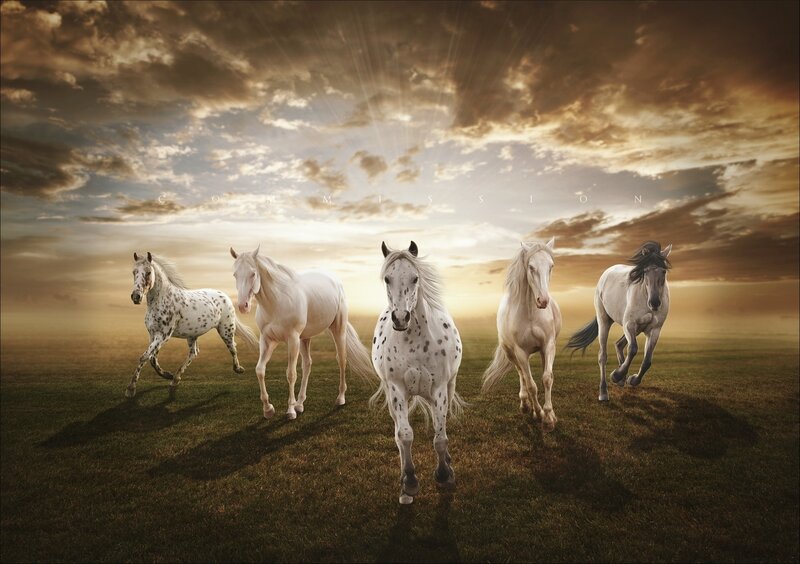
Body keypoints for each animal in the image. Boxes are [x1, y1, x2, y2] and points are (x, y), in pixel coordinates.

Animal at [125, 252, 258, 398]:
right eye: (134, 272)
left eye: (148, 272)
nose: (136, 296)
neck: (161, 300)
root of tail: (225, 296)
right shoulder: (153, 335)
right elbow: (152, 358)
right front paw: (167, 375)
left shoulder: (163, 335)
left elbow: (144, 357)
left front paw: (130, 389)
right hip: (192, 335)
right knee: (193, 353)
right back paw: (175, 381)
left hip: (226, 330)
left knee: (232, 347)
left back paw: (238, 369)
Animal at [230, 245, 374, 420]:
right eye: (235, 274)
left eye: (253, 273)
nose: (243, 306)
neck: (277, 302)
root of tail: (335, 281)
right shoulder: (267, 341)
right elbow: (260, 370)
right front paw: (268, 409)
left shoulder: (292, 339)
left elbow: (291, 374)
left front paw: (290, 411)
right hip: (305, 338)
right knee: (307, 364)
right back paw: (300, 403)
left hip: (338, 330)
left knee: (341, 360)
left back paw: (340, 398)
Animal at [371, 241, 465, 504]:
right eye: (387, 278)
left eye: (415, 278)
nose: (401, 318)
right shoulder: (397, 390)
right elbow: (404, 436)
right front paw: (410, 482)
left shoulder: (439, 388)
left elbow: (440, 437)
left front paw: (444, 474)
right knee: (398, 435)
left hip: (446, 388)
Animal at [481, 237, 562, 431]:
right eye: (531, 267)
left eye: (551, 266)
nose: (543, 300)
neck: (531, 314)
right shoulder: (520, 352)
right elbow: (531, 385)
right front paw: (539, 414)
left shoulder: (548, 345)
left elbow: (547, 378)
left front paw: (549, 417)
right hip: (511, 353)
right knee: (521, 375)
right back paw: (526, 405)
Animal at [566, 241, 672, 401]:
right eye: (645, 271)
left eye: (663, 271)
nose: (654, 303)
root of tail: (606, 273)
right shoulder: (629, 325)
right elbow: (633, 349)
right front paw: (616, 375)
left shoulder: (654, 330)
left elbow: (647, 360)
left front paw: (631, 379)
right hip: (605, 321)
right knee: (602, 355)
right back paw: (604, 392)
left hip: (638, 329)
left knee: (619, 344)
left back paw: (622, 379)